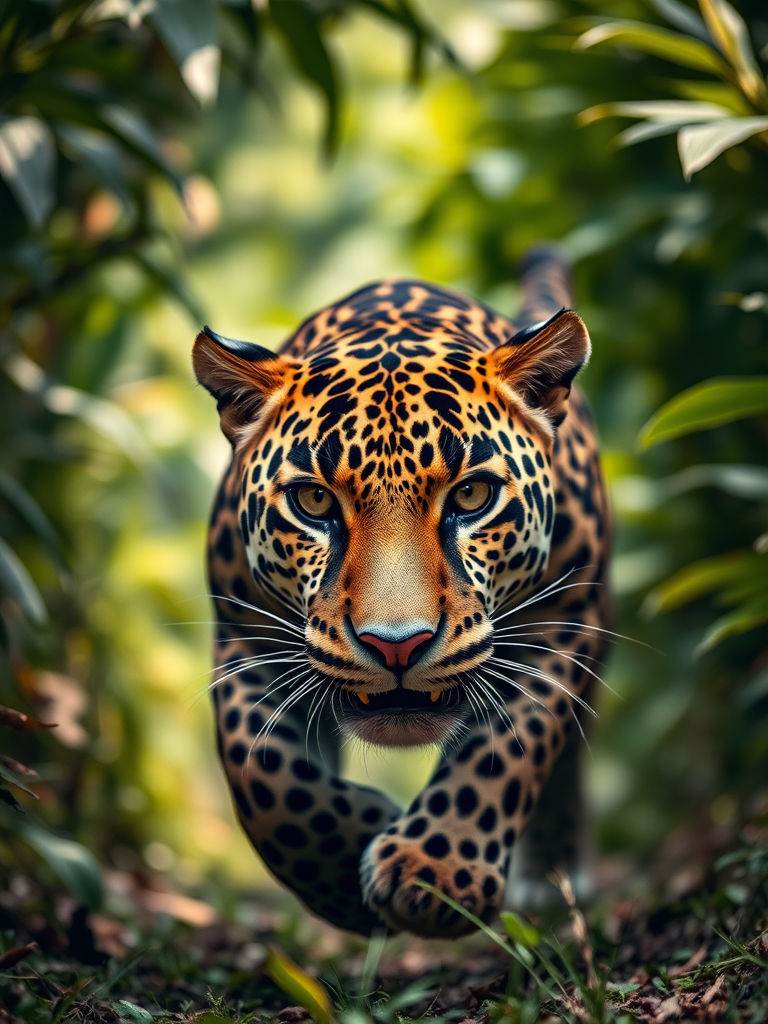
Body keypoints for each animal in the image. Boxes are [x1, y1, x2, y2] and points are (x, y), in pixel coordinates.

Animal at [192, 245, 611, 938]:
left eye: (473, 494)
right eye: (313, 502)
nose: (397, 646)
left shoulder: (563, 623)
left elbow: (505, 750)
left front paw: (433, 871)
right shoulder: (243, 639)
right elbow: (264, 776)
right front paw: (344, 864)